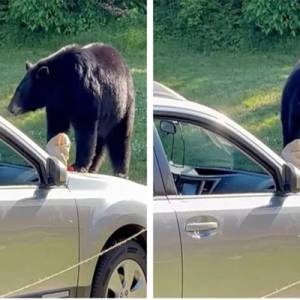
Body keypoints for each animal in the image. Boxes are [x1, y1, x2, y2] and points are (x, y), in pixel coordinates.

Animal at [7, 43, 135, 177]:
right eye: (17, 89)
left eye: (20, 92)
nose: (10, 107)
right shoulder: (57, 104)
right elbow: (57, 125)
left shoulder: (84, 91)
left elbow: (85, 128)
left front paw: (79, 165)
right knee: (100, 141)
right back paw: (93, 167)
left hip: (122, 105)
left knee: (120, 138)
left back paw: (121, 172)